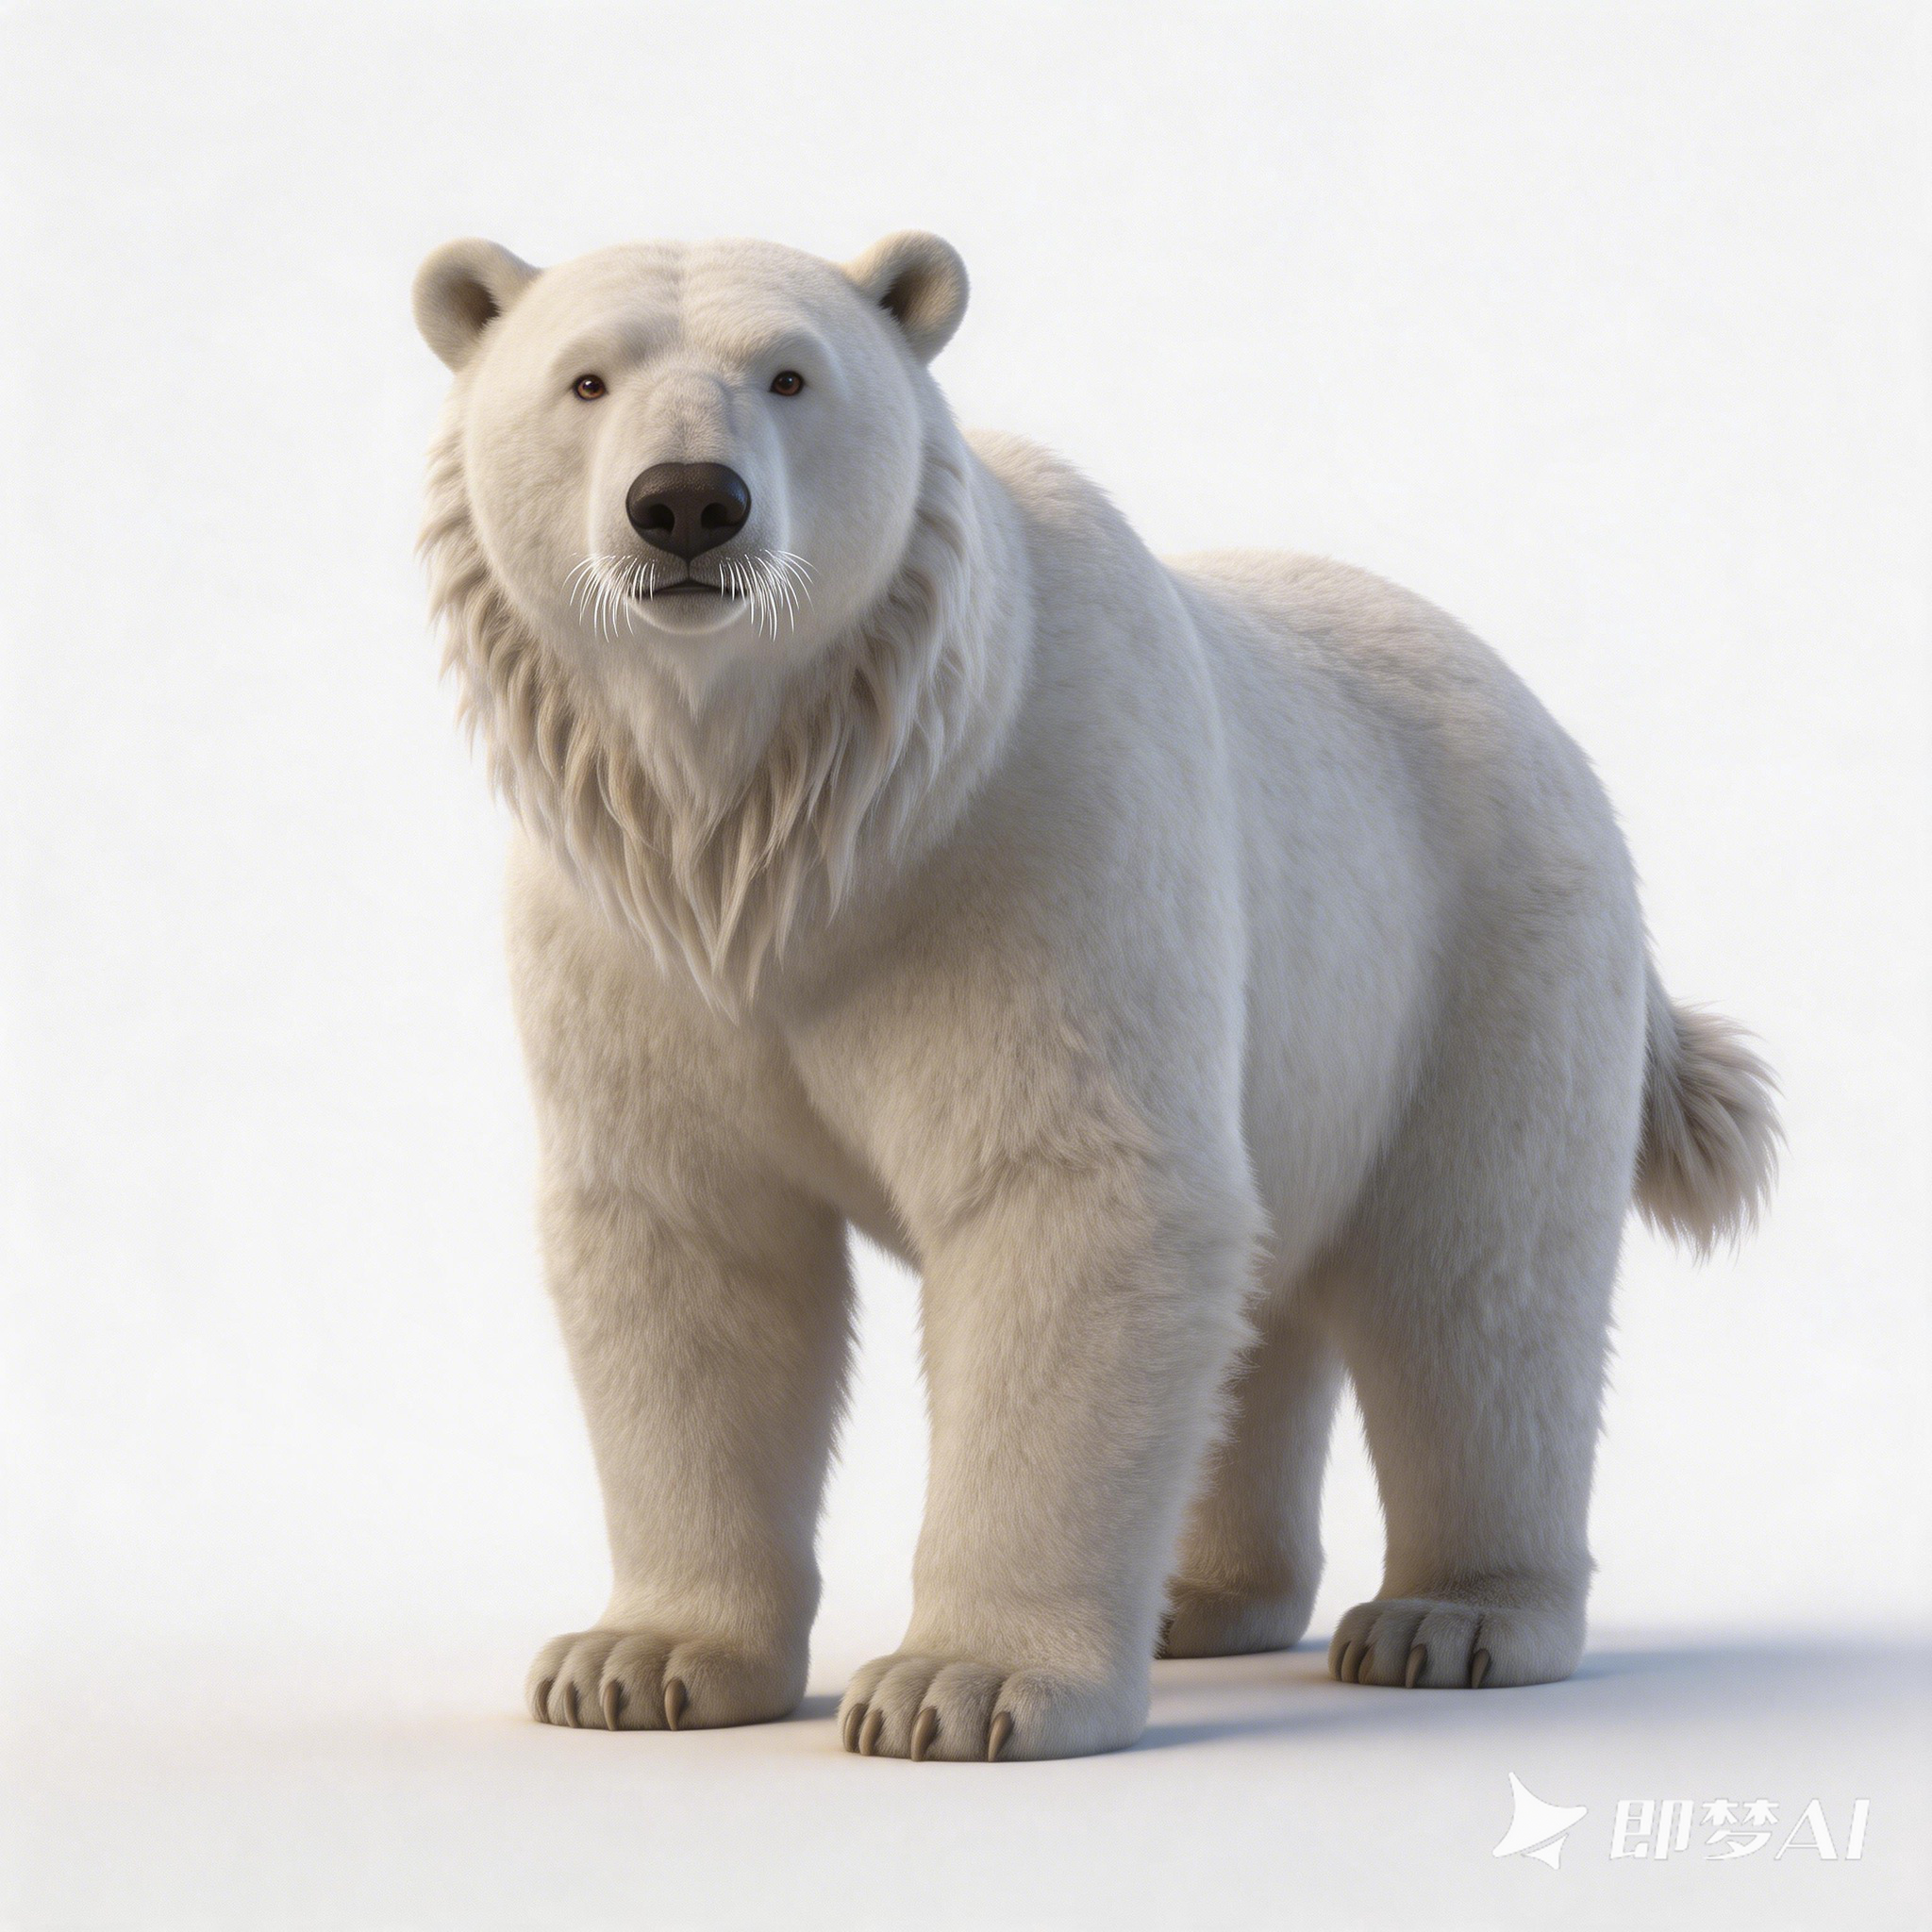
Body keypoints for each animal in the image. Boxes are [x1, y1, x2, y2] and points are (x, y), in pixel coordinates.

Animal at [413, 230, 1779, 1761]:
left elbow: (1075, 1194)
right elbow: (689, 1239)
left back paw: (1451, 1619)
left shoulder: (1043, 835)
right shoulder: (625, 937)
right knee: (1270, 1298)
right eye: (585, 378)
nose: (689, 503)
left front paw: (958, 1686)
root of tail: (1551, 722)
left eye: (790, 374)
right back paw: (1203, 1596)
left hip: (1485, 940)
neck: (799, 825)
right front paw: (632, 1663)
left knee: (1477, 1281)